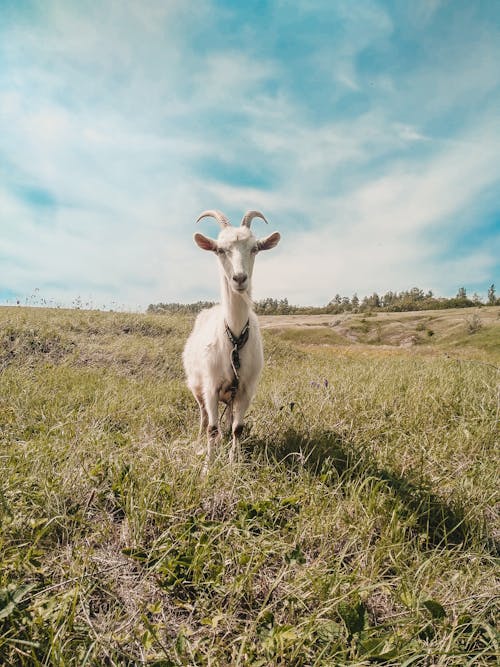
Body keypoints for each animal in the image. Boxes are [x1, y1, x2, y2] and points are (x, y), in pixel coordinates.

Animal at [183, 210, 282, 470]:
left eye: (255, 248)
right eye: (220, 249)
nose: (239, 278)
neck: (234, 338)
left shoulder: (247, 388)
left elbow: (238, 428)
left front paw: (233, 462)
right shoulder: (211, 386)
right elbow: (211, 427)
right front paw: (208, 465)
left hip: (231, 394)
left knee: (227, 419)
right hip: (196, 386)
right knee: (203, 417)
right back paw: (200, 443)